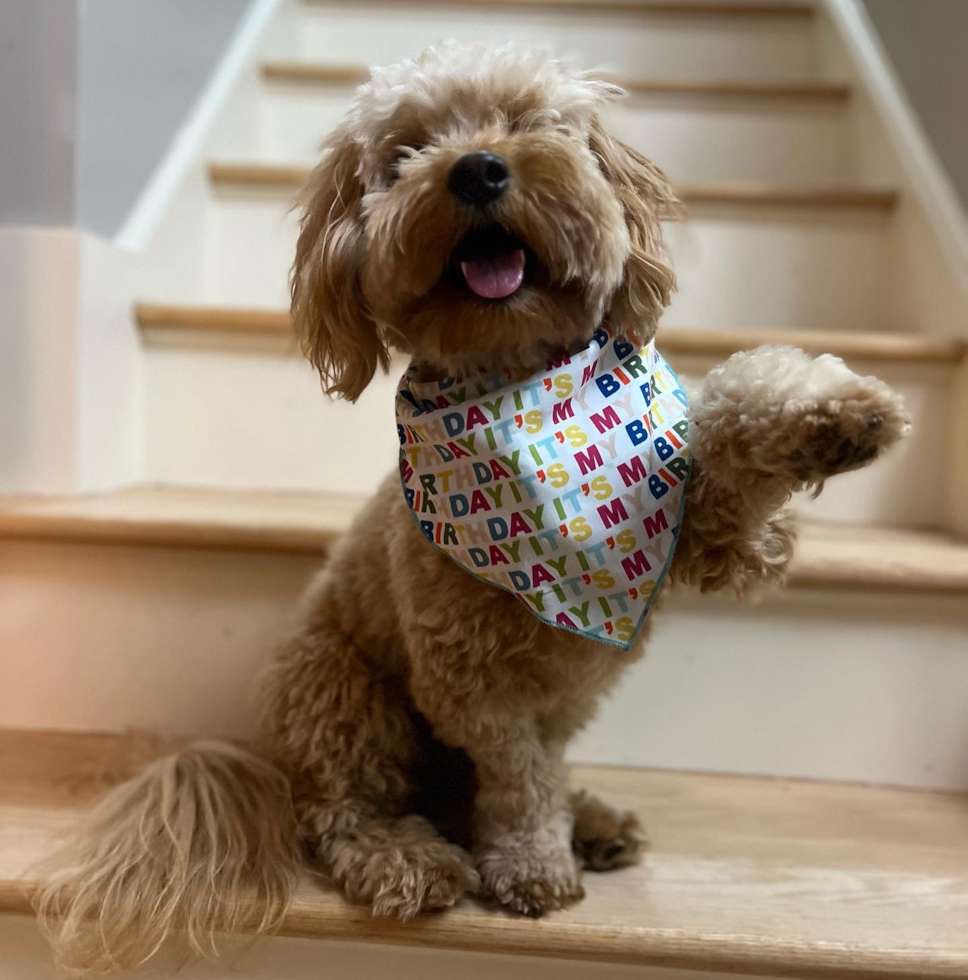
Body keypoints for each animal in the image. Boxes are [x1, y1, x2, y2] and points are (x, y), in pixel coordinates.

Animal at [39, 42, 908, 968]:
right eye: (406, 153)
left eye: (525, 122)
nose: (478, 167)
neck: (521, 388)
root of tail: (266, 758)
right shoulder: (470, 681)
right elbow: (518, 780)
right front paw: (532, 868)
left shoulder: (701, 535)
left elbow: (741, 409)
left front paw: (838, 413)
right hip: (340, 690)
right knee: (346, 810)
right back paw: (411, 858)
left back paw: (591, 819)